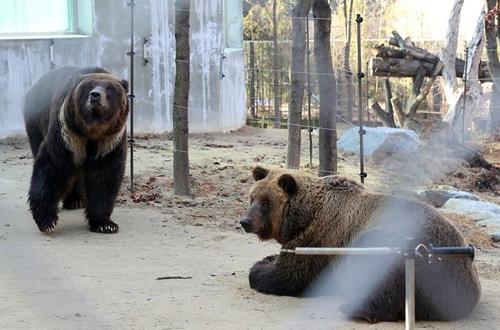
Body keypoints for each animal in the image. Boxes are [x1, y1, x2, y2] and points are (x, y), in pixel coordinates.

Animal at [23, 65, 129, 233]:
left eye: (110, 88)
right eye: (89, 87)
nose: (95, 95)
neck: (92, 132)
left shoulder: (110, 141)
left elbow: (104, 177)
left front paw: (105, 224)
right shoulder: (67, 133)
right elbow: (52, 166)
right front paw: (47, 221)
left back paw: (76, 201)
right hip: (36, 122)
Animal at [242, 166, 480, 320]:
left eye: (266, 202)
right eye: (252, 198)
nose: (245, 222)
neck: (304, 215)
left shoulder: (320, 239)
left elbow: (289, 275)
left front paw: (258, 269)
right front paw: (268, 258)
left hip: (410, 251)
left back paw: (354, 307)